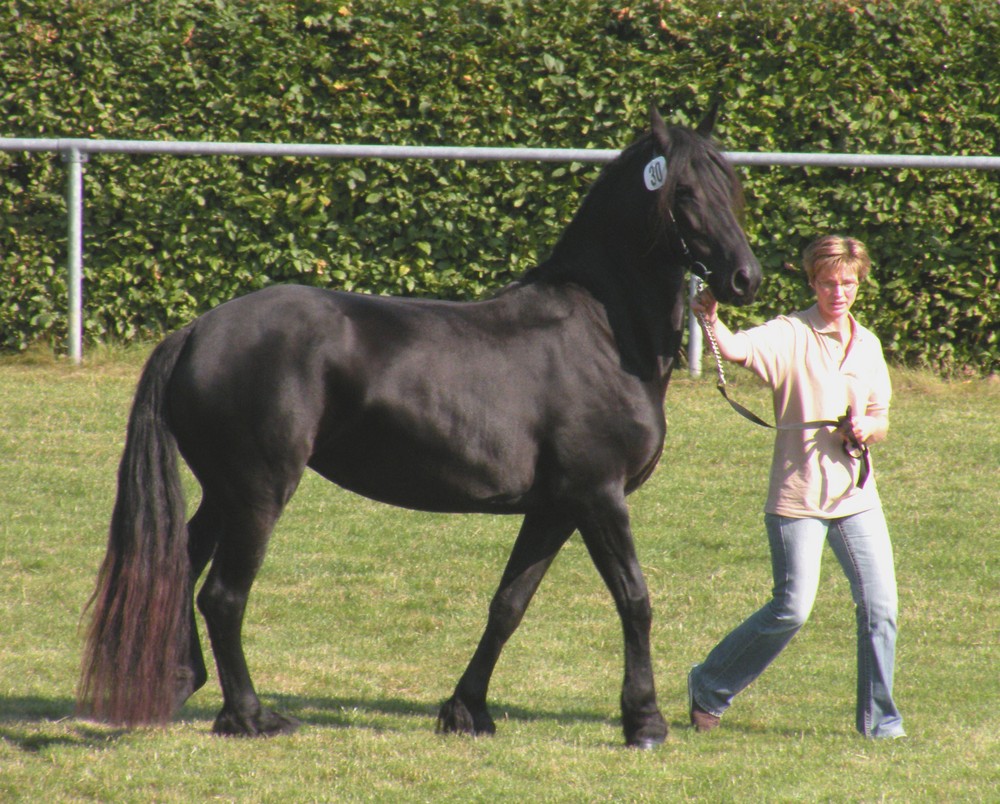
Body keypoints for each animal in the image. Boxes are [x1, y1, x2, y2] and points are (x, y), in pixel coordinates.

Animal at [82, 107, 760, 748]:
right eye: (684, 191)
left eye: (731, 185)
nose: (745, 278)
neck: (599, 333)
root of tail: (197, 331)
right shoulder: (600, 498)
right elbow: (634, 600)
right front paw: (644, 721)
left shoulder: (555, 507)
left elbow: (508, 604)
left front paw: (467, 711)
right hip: (257, 494)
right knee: (222, 595)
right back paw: (249, 716)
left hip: (224, 493)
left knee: (180, 564)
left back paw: (180, 679)